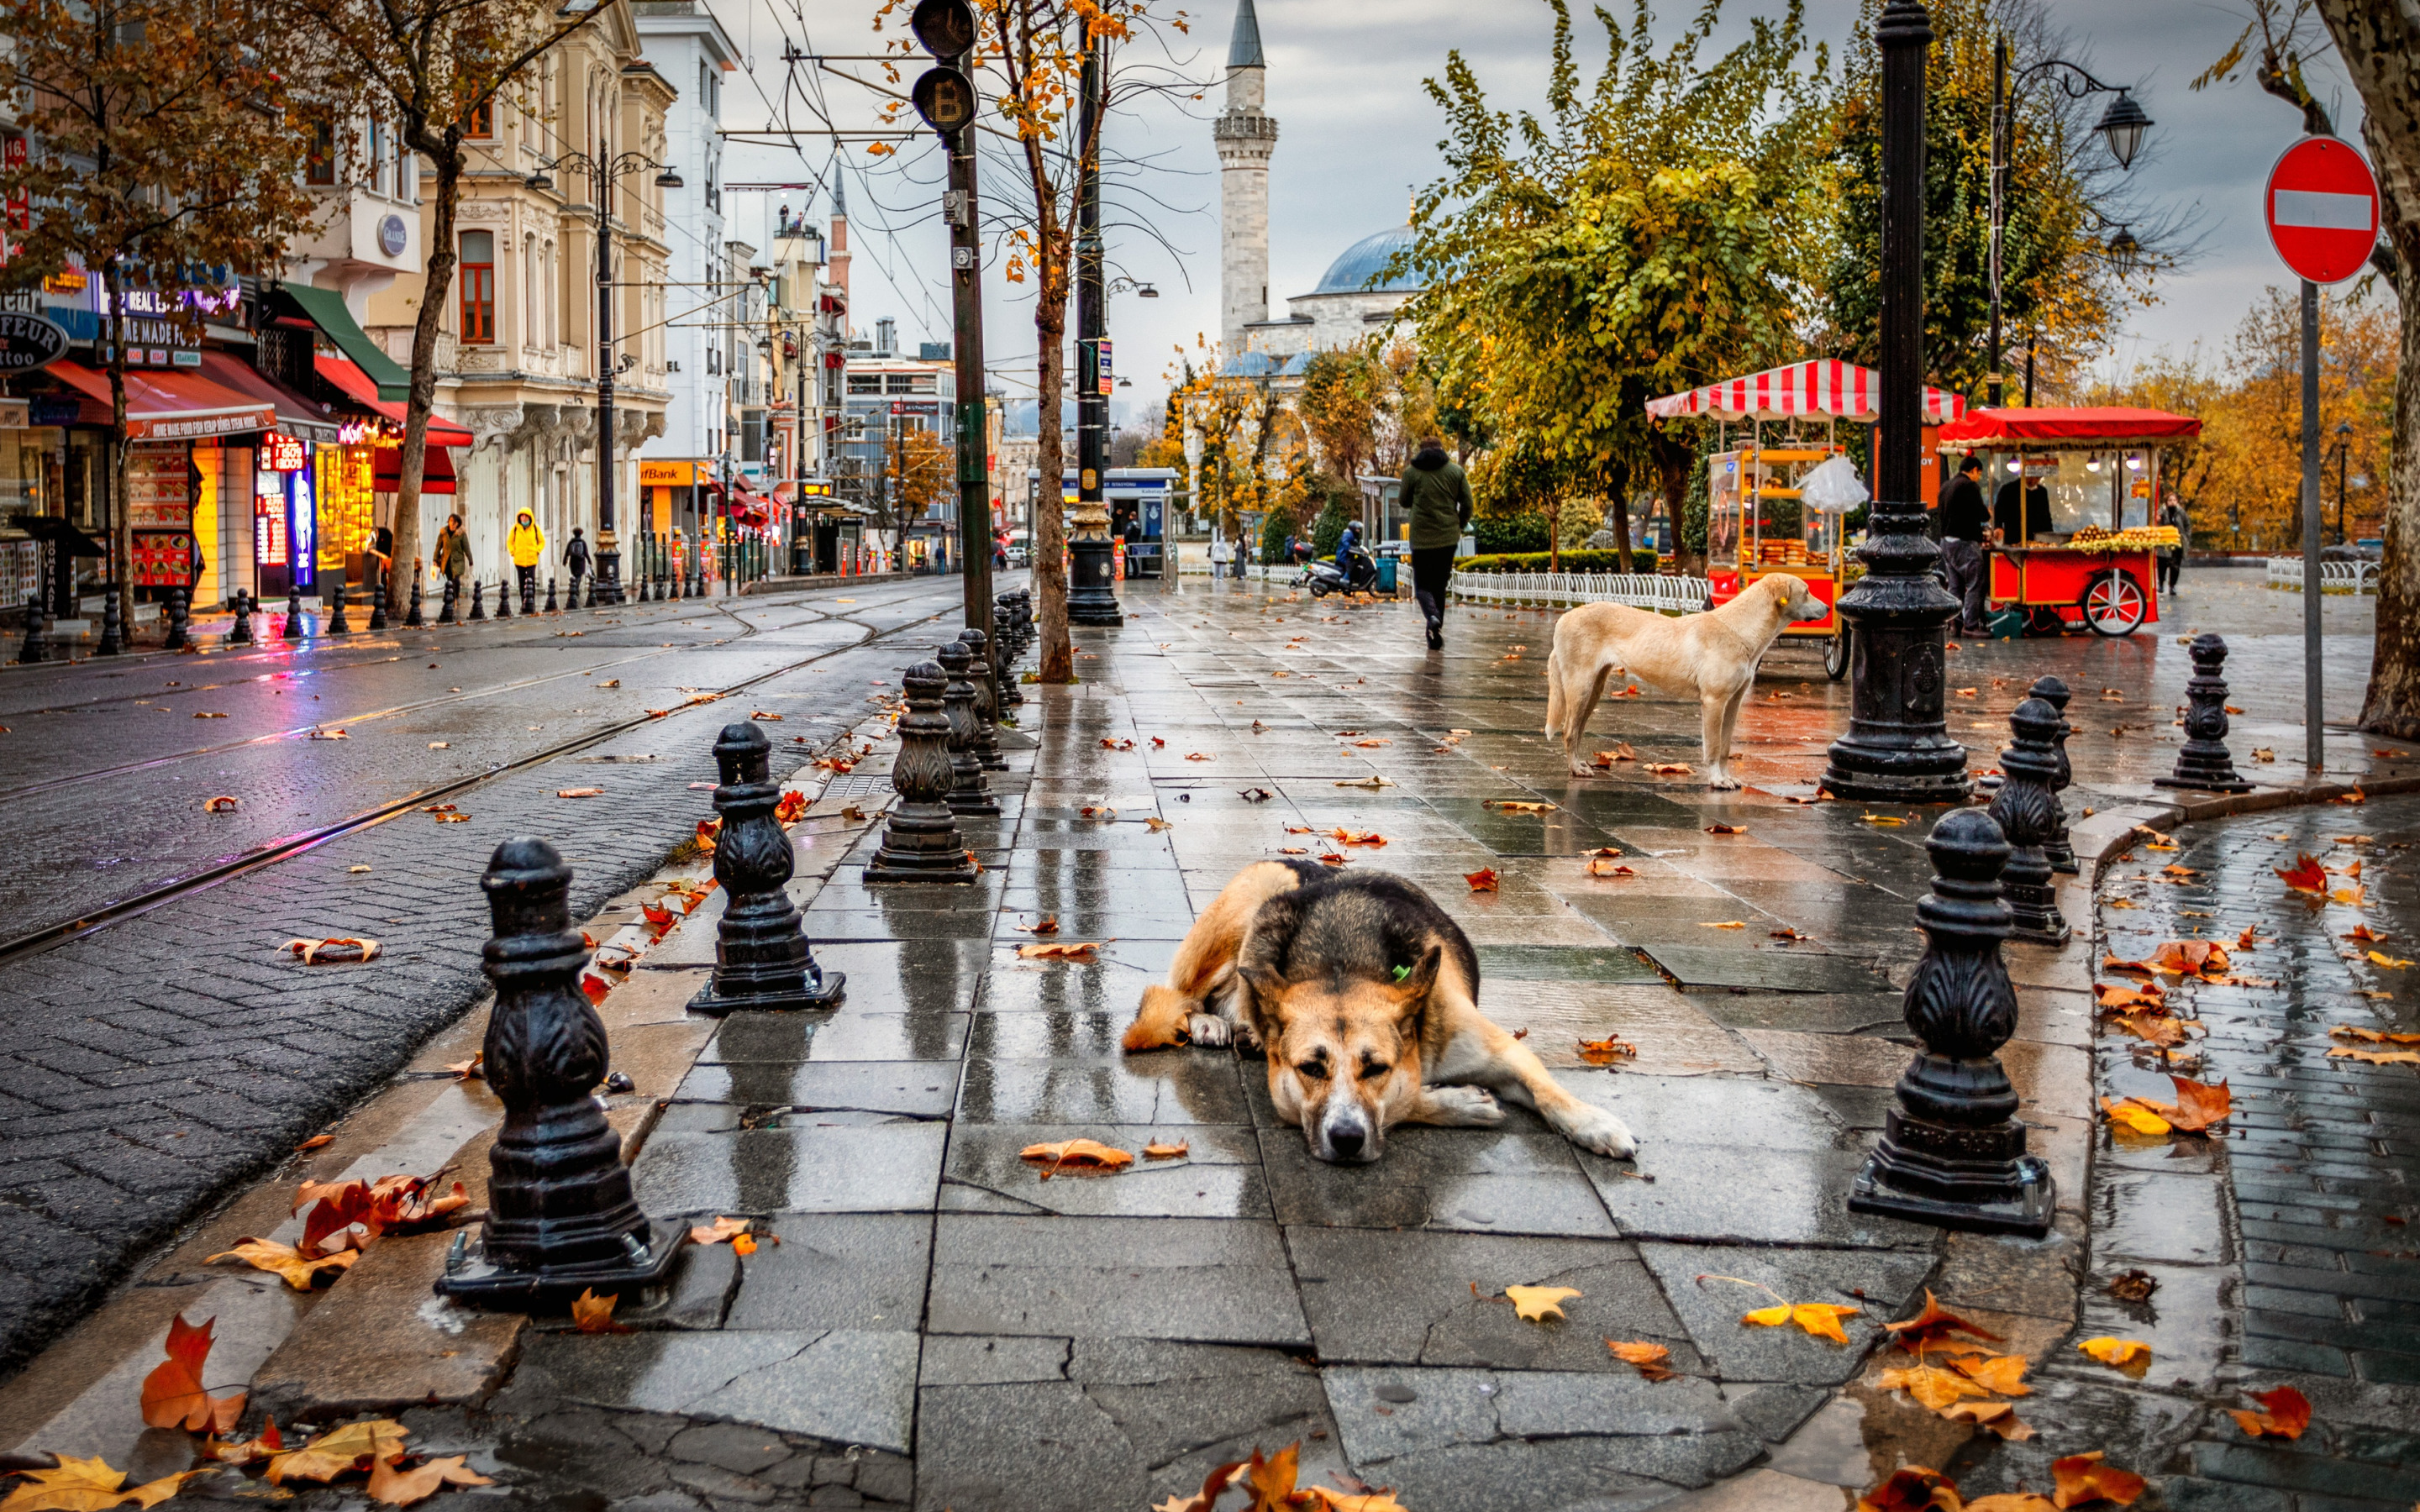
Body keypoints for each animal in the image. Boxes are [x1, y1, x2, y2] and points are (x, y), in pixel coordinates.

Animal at [1123, 856, 1635, 1161]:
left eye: (1376, 1068)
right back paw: (1209, 1022)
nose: (1347, 1141)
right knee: (1178, 994)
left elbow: (1547, 1089)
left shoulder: (1501, 1050)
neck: (1340, 961)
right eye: (1312, 1069)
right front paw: (1459, 1102)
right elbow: (1405, 1101)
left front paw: (1594, 1123)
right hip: (1257, 895)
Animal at [1549, 570, 1819, 788]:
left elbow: (1725, 747)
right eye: (1806, 592)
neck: (1739, 630)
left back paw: (1579, 764)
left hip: (1593, 689)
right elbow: (1713, 747)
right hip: (1580, 686)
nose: (1827, 608)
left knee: (1577, 729)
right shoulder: (1713, 701)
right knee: (1569, 730)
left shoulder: (1733, 702)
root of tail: (1563, 619)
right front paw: (1717, 780)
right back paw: (1575, 769)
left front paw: (1726, 777)